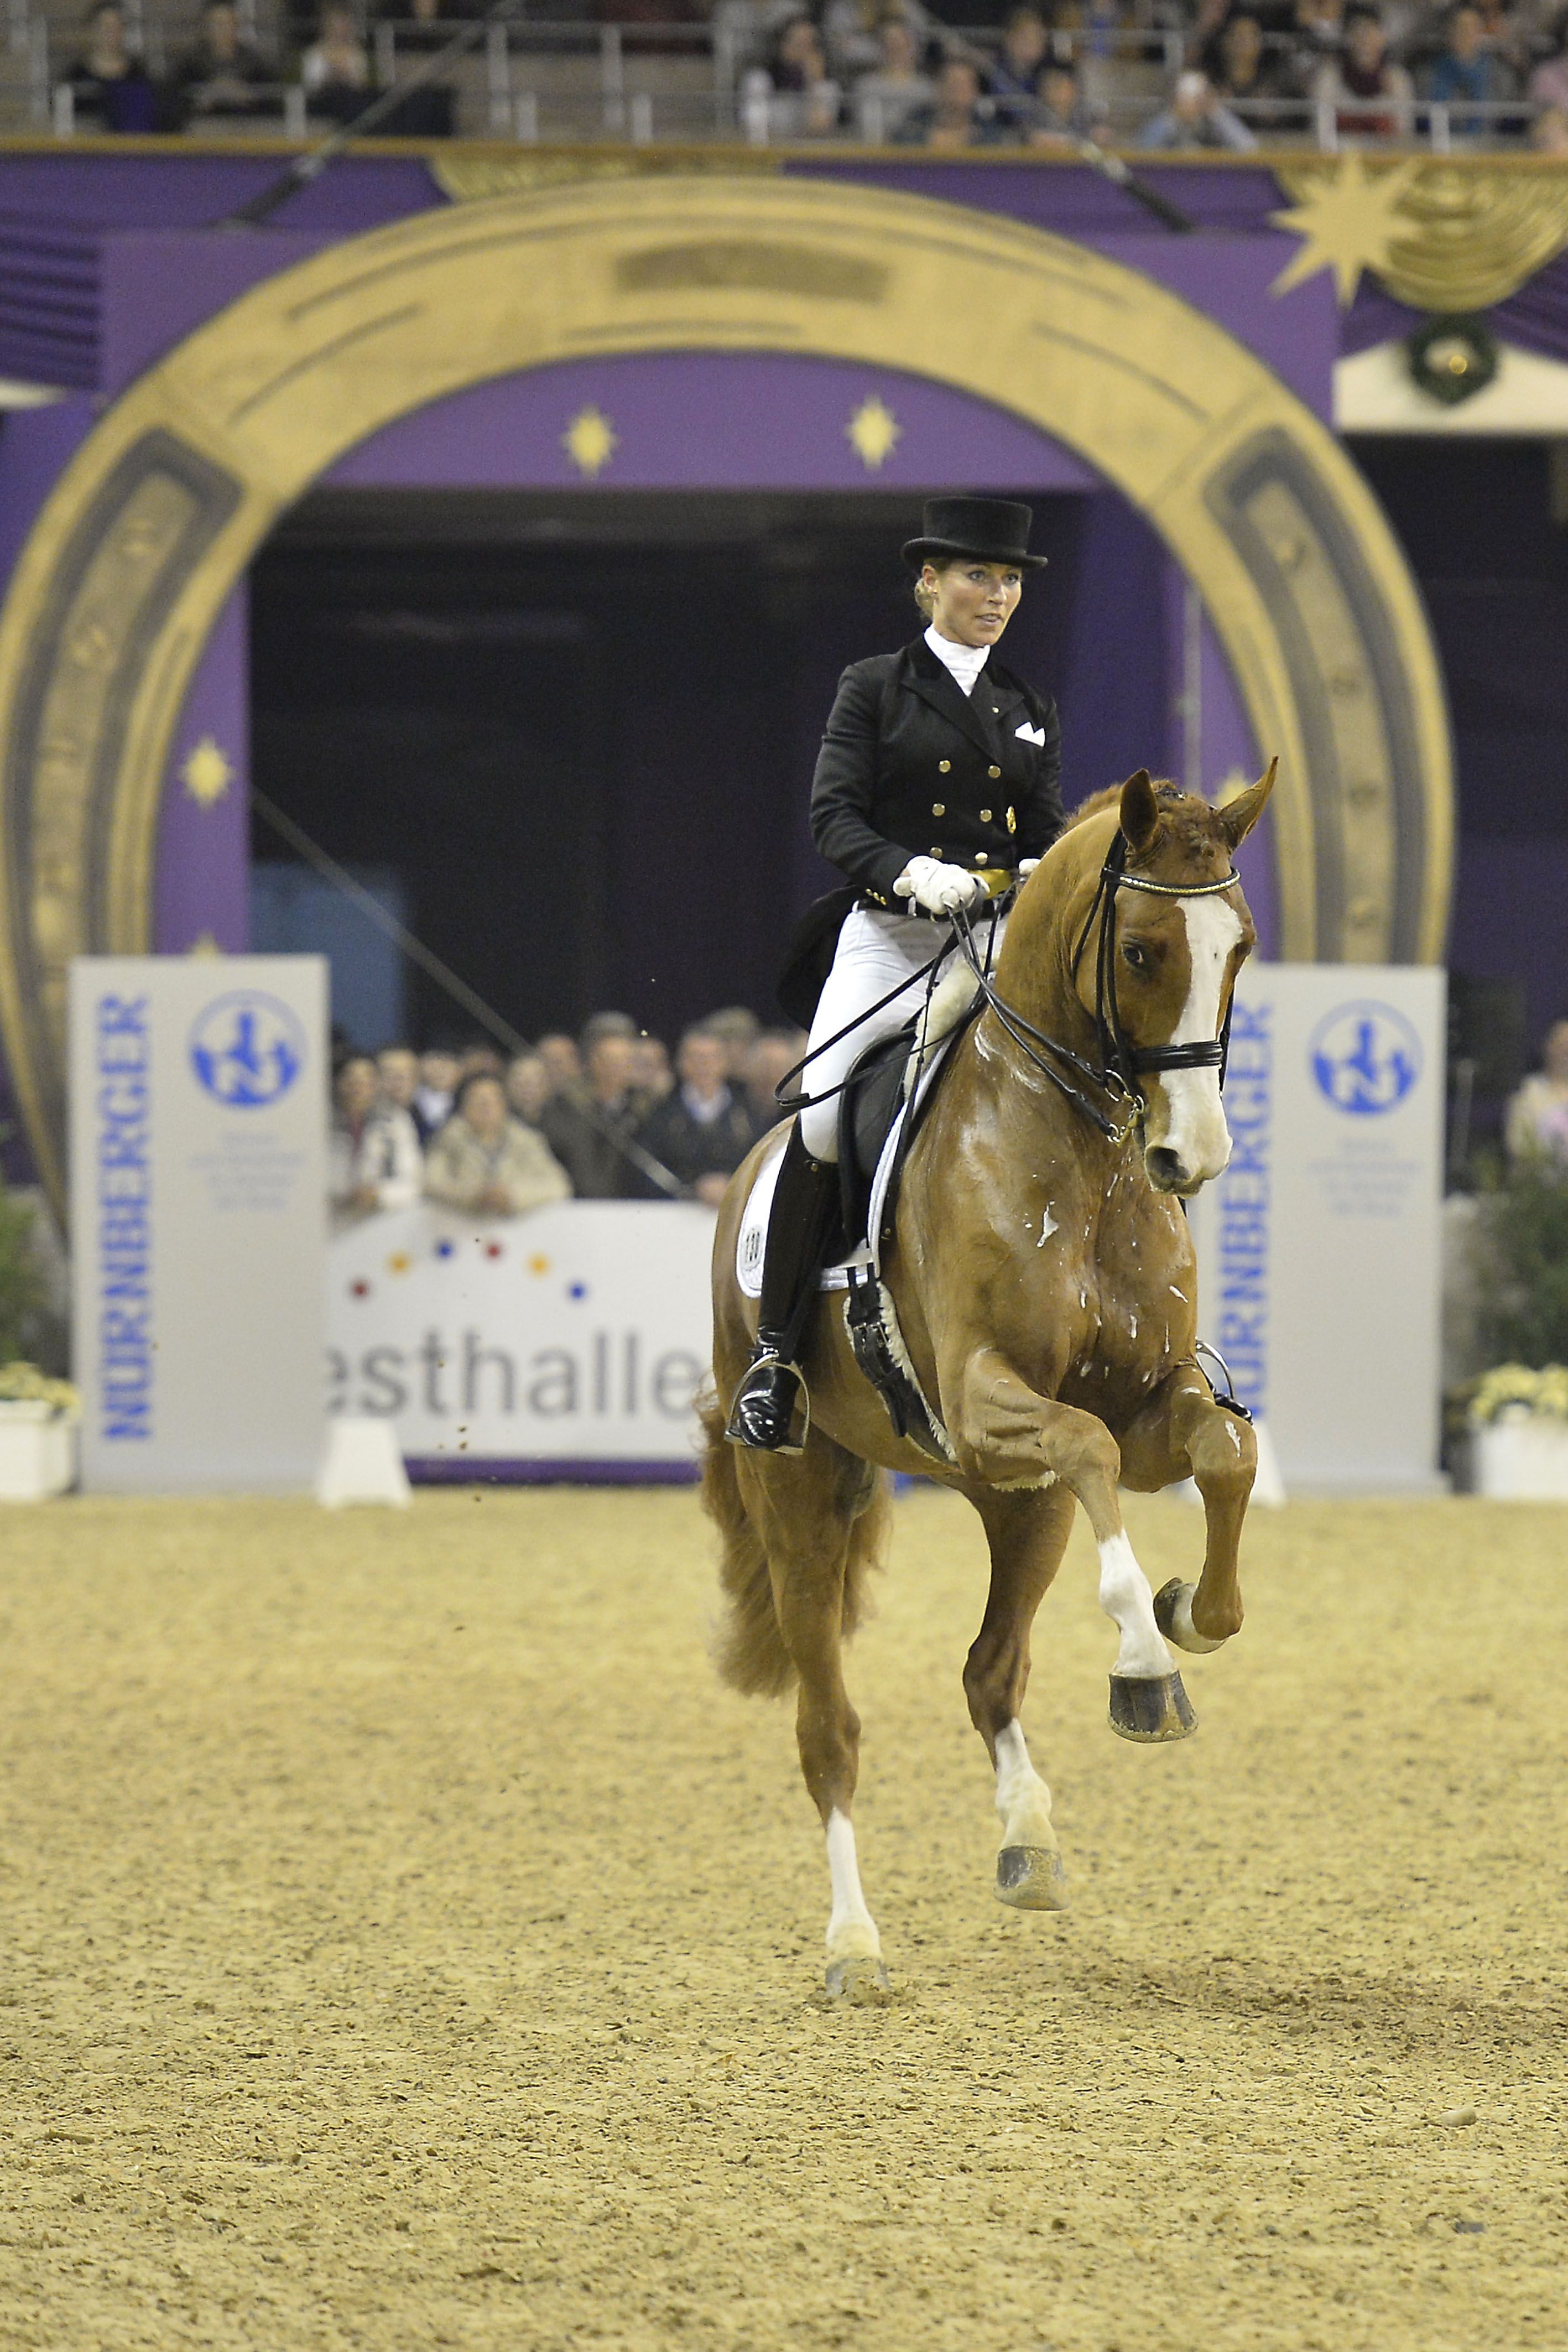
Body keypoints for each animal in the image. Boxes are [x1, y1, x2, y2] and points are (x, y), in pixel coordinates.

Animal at [705, 762, 1269, 1994]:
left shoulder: (1135, 1406)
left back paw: (1029, 1839)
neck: (1081, 1149)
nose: (1193, 1157)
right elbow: (1096, 1448)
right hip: (804, 1492)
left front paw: (1190, 1616)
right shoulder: (982, 1401)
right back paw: (854, 1944)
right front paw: (1146, 1662)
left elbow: (1223, 1451)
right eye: (1143, 950)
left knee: (989, 1670)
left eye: (1240, 947)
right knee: (828, 1729)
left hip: (1018, 1504)